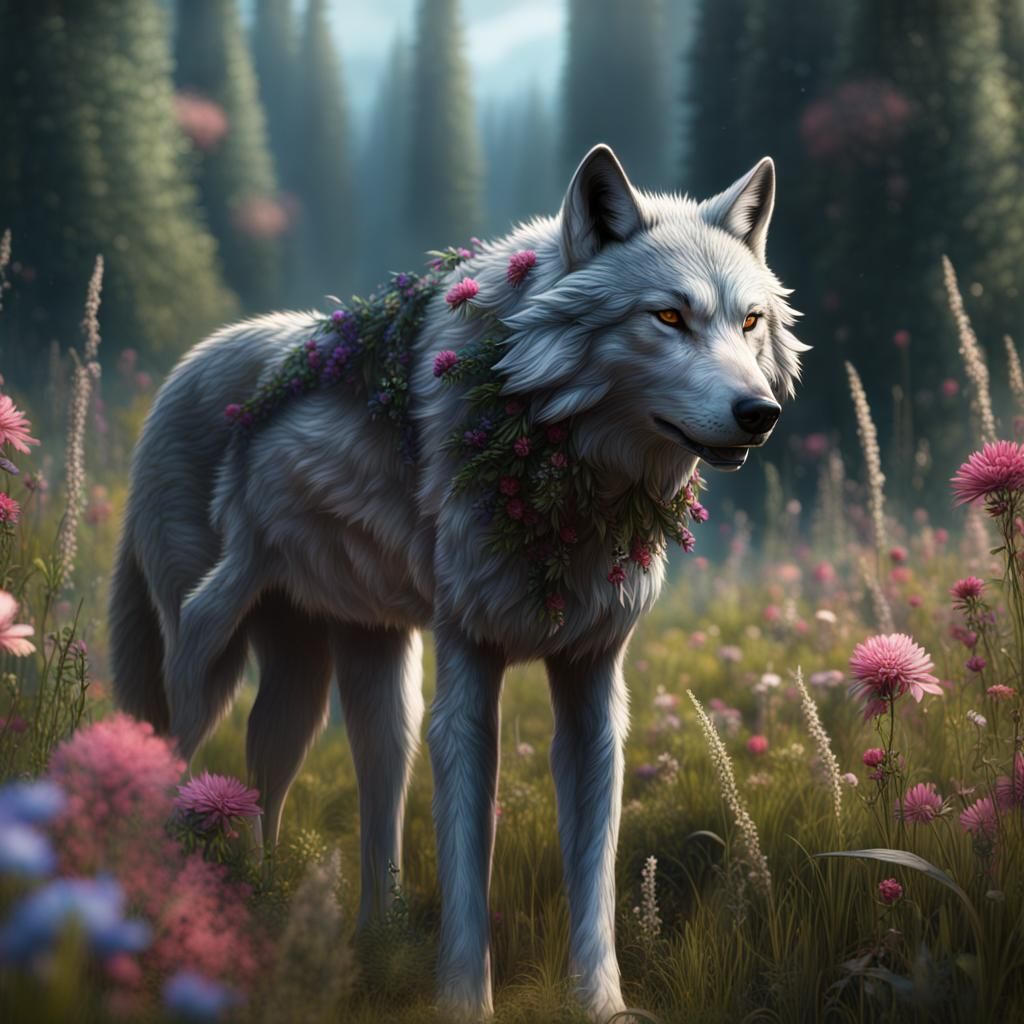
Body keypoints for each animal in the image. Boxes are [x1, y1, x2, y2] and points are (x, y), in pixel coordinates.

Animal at [109, 144, 805, 1020]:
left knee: (293, 775)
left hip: (348, 678)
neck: (561, 482)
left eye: (750, 321)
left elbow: (595, 874)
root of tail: (183, 369)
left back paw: (326, 928)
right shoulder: (469, 667)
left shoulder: (594, 686)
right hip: (207, 667)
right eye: (669, 318)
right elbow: (469, 860)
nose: (759, 413)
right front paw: (464, 1002)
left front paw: (599, 1004)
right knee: (167, 762)